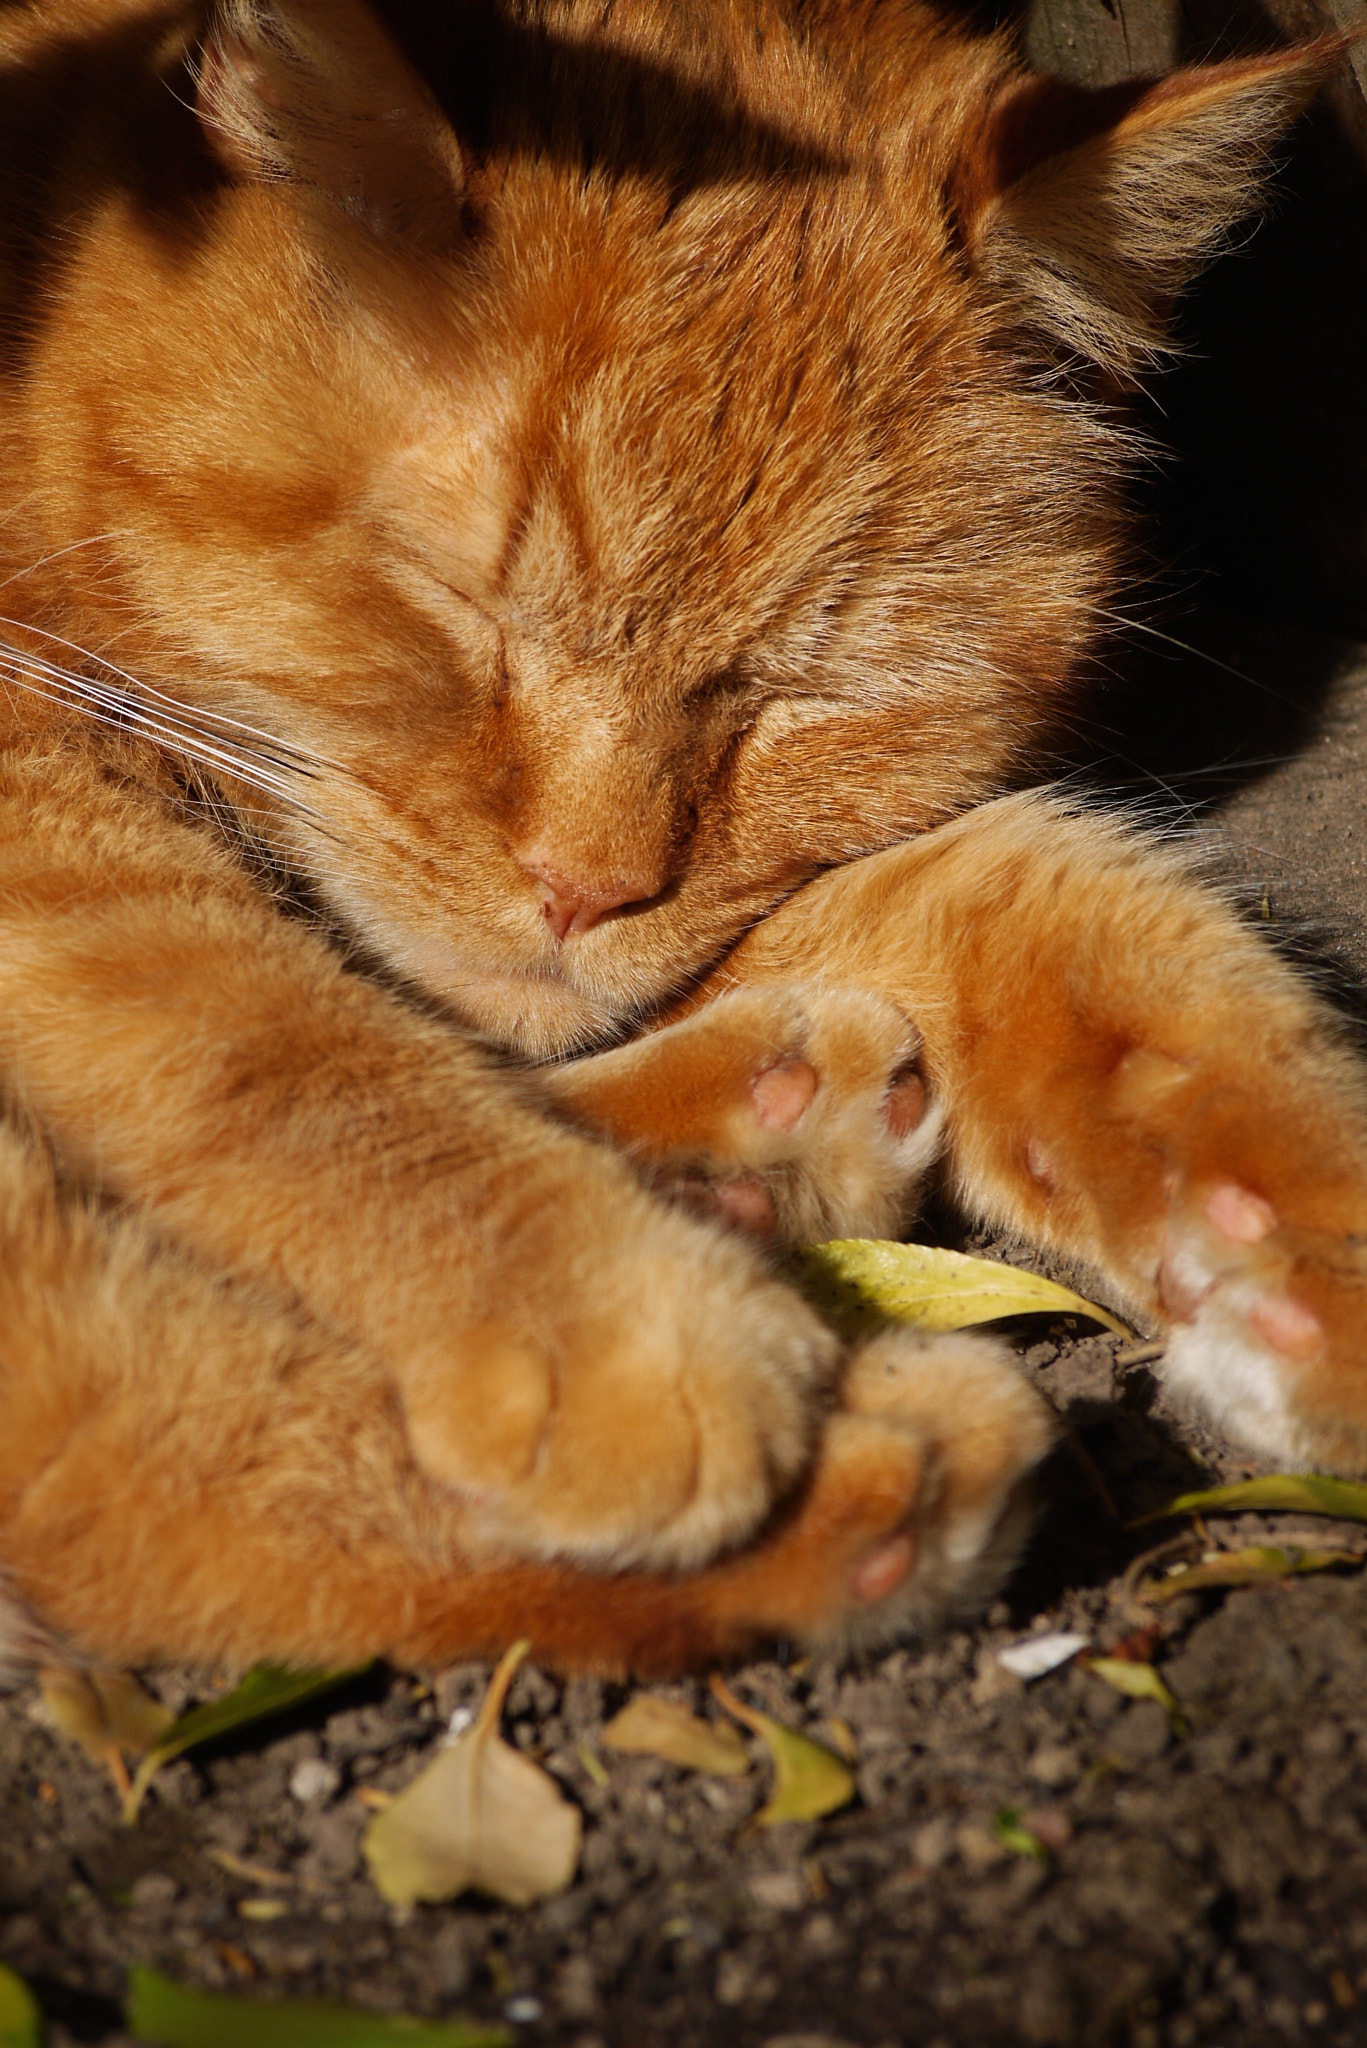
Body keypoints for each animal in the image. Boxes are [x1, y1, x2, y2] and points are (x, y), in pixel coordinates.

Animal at [2, 0, 1367, 1679]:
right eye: (459, 614)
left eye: (790, 698)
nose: (579, 892)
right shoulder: (46, 795)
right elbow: (271, 1040)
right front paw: (606, 1314)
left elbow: (1044, 901)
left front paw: (1283, 1236)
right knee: (121, 1466)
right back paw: (849, 1432)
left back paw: (766, 1151)